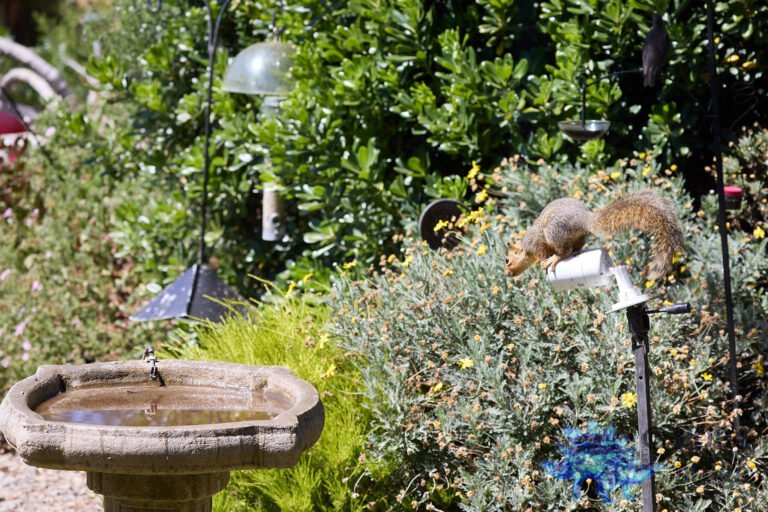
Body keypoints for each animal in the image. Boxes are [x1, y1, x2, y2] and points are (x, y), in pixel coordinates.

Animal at [505, 190, 683, 280]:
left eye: (507, 260)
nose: (506, 274)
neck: (525, 247)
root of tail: (584, 219)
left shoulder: (536, 243)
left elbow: (542, 253)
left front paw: (544, 261)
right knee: (575, 248)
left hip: (554, 231)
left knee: (565, 251)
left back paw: (555, 259)